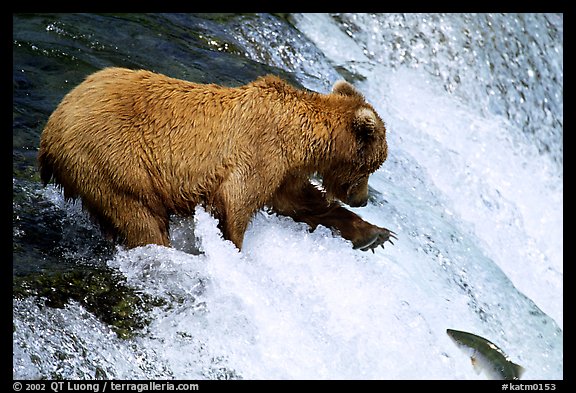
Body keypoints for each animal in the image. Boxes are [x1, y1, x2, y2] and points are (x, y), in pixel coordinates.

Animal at [37, 67, 396, 251]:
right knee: (139, 216)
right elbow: (236, 205)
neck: (302, 139)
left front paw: (376, 234)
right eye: (371, 167)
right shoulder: (260, 151)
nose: (362, 199)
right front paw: (234, 249)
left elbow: (299, 201)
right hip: (112, 161)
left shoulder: (284, 170)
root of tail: (49, 132)